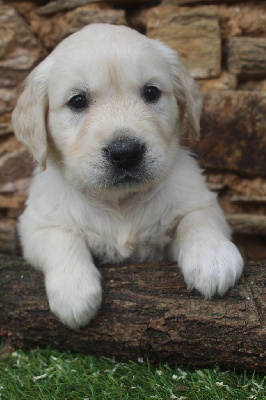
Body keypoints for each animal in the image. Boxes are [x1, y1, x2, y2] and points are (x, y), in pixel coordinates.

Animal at [11, 24, 243, 328]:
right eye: (78, 101)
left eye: (151, 92)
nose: (125, 152)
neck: (120, 202)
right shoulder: (36, 224)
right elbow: (60, 238)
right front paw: (74, 291)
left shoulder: (199, 200)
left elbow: (197, 219)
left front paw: (212, 259)